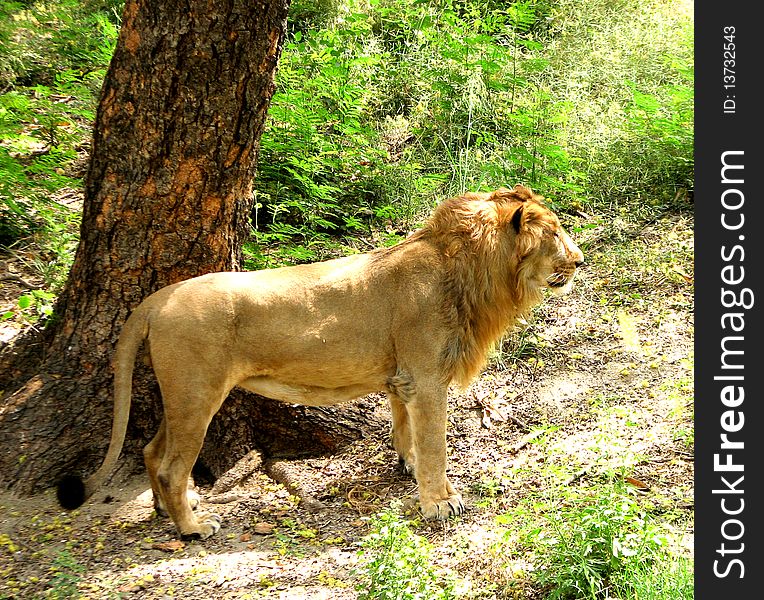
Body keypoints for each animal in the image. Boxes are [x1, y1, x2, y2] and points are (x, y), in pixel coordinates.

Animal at [58, 183, 584, 540]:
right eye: (556, 232)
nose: (580, 260)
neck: (473, 272)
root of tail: (157, 298)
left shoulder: (402, 378)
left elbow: (405, 429)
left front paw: (408, 466)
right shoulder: (426, 377)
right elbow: (435, 443)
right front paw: (439, 502)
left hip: (184, 394)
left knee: (151, 451)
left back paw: (170, 510)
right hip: (196, 393)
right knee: (169, 464)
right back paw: (191, 527)